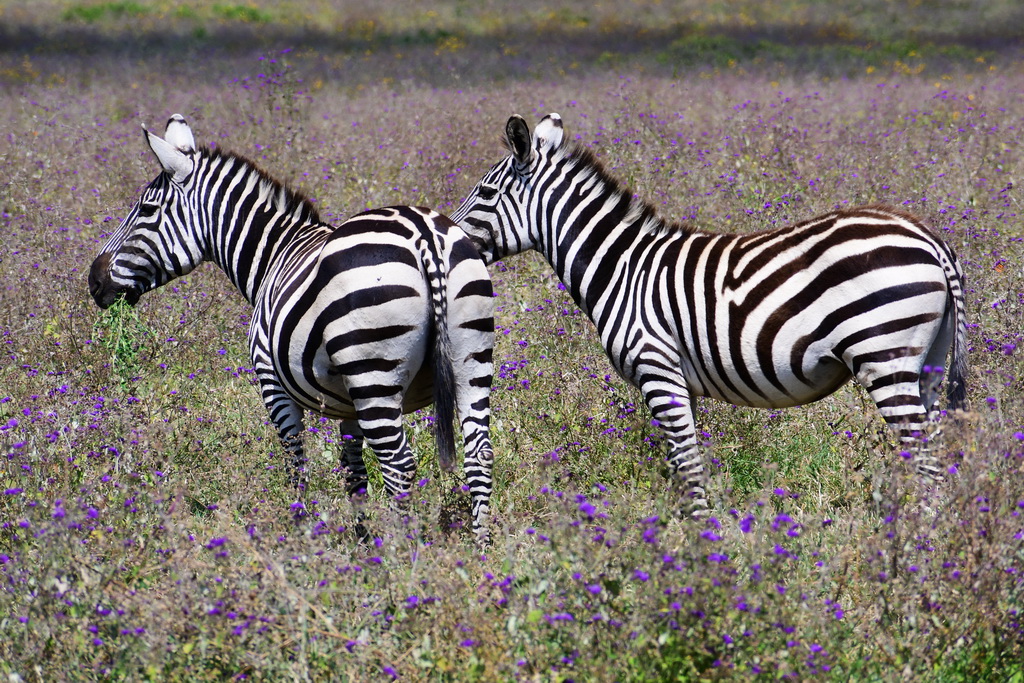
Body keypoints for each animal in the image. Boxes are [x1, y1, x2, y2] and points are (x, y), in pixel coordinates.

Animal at [90, 118, 497, 544]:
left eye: (147, 209)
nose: (93, 281)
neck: (275, 256)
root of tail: (425, 236)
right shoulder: (348, 405)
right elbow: (353, 470)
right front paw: (362, 540)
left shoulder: (273, 384)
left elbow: (295, 463)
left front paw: (302, 536)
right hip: (470, 360)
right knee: (479, 454)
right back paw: (480, 546)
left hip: (373, 372)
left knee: (398, 463)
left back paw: (403, 553)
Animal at [450, 113, 966, 518]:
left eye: (485, 192)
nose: (451, 243)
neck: (622, 267)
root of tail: (928, 238)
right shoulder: (681, 382)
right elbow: (681, 464)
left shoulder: (658, 369)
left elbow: (689, 464)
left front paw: (701, 546)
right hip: (927, 365)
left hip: (885, 356)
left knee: (927, 463)